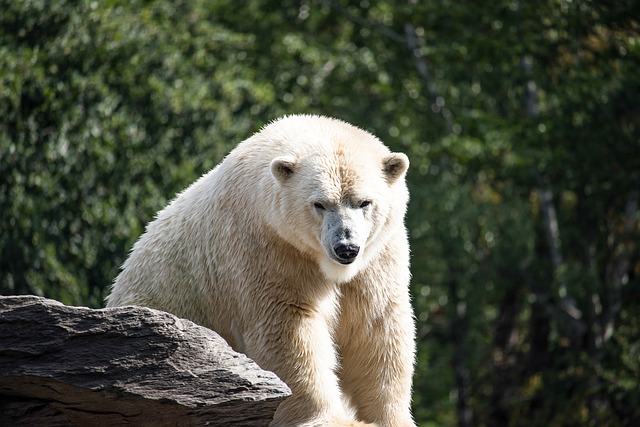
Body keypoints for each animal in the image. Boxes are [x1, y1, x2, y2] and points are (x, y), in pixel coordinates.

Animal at [107, 115, 418, 426]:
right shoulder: (266, 248)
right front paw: (327, 418)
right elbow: (288, 328)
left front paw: (390, 418)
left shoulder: (377, 257)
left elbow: (376, 328)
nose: (346, 247)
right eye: (319, 204)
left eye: (364, 202)